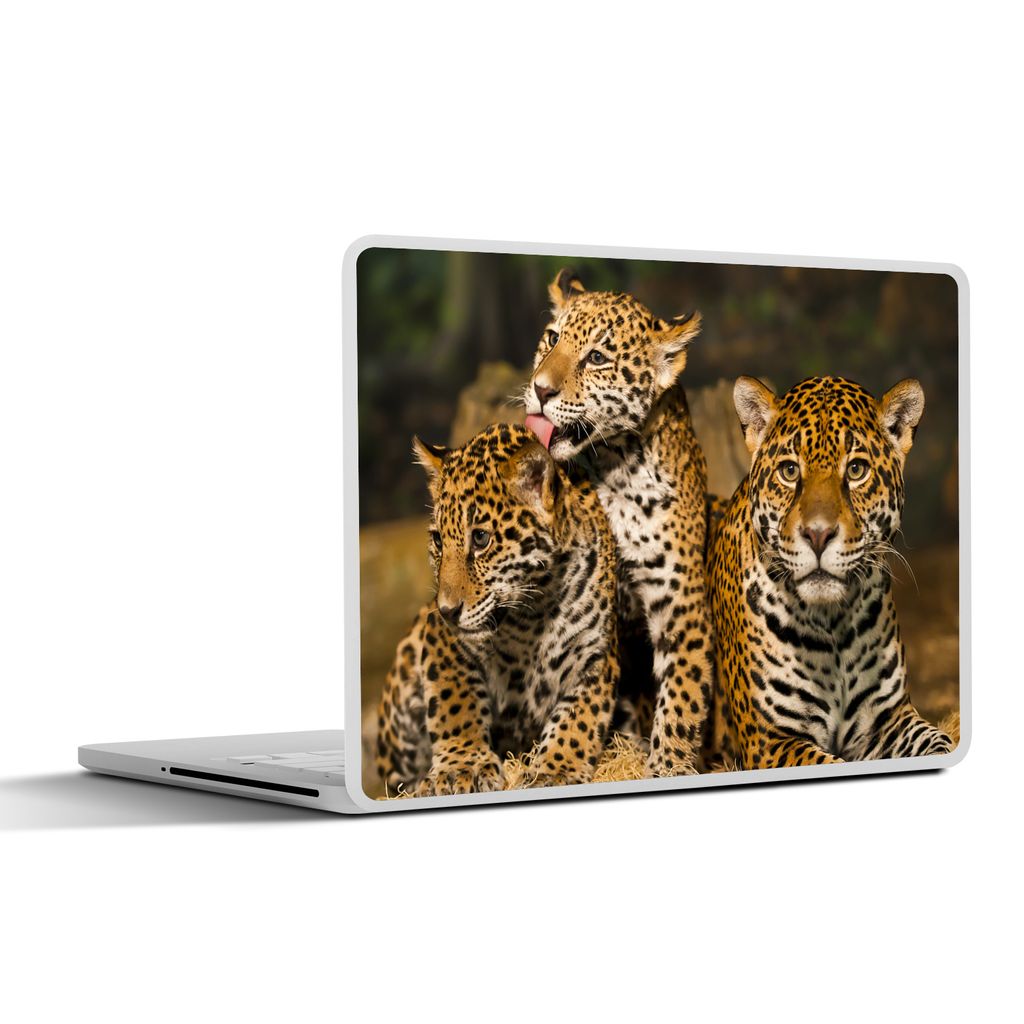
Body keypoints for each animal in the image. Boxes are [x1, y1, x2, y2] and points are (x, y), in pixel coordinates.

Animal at [375, 422, 621, 796]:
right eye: (438, 541)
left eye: (480, 539)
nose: (446, 611)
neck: (534, 611)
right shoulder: (443, 642)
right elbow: (456, 701)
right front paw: (461, 767)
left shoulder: (597, 654)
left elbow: (579, 717)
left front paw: (556, 768)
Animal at [524, 269, 713, 777]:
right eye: (551, 338)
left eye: (597, 358)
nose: (540, 390)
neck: (613, 465)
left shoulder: (682, 603)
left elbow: (683, 697)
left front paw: (668, 765)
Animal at [707, 374, 954, 769]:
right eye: (789, 471)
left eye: (856, 470)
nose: (818, 535)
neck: (832, 623)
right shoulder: (770, 741)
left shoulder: (890, 719)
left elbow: (939, 741)